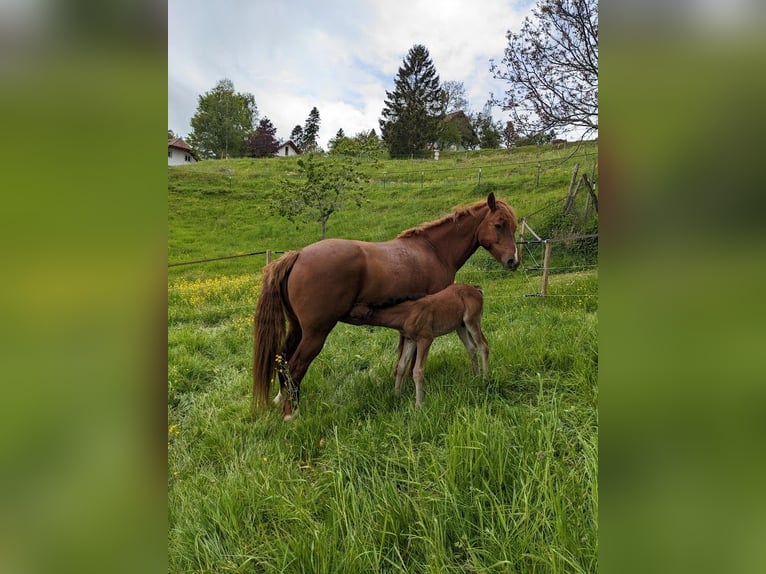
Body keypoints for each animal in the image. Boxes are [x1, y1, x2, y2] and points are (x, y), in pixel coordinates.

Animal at [350, 286, 488, 408]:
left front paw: (418, 405)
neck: (407, 313)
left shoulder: (425, 339)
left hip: (472, 321)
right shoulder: (410, 340)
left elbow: (417, 371)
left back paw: (484, 378)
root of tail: (477, 290)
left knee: (483, 346)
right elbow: (401, 366)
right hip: (460, 326)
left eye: (354, 314)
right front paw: (396, 395)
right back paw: (476, 376)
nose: (345, 312)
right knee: (471, 348)